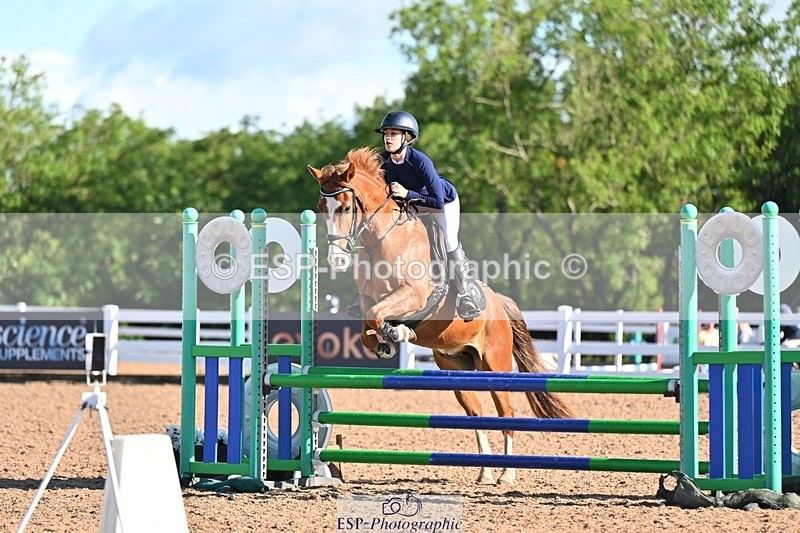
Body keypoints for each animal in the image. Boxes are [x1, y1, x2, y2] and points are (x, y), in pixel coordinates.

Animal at [308, 147, 574, 484]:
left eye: (344, 208)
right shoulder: (369, 300)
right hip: (457, 369)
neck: (383, 240)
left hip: (495, 363)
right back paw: (485, 472)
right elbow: (368, 322)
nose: (337, 260)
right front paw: (384, 343)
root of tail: (499, 303)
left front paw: (398, 333)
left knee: (507, 414)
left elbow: (379, 315)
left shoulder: (414, 296)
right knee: (476, 415)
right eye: (320, 208)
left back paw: (506, 474)